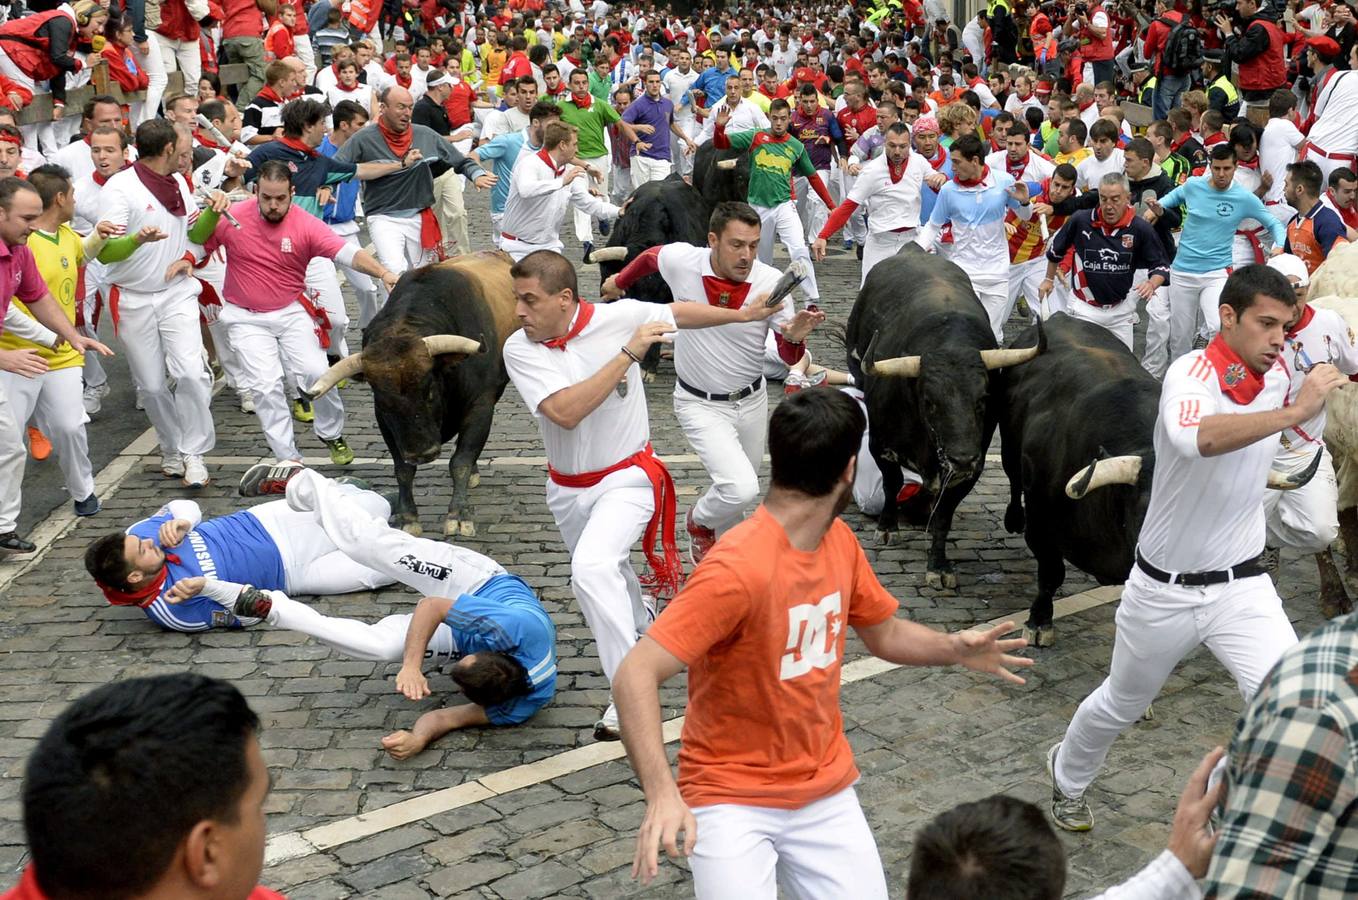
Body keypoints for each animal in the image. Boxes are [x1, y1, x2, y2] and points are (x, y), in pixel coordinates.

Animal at [308, 249, 518, 537]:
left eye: (429, 390)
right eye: (383, 401)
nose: (422, 453)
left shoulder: (481, 407)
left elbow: (461, 461)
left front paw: (458, 515)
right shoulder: (386, 424)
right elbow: (403, 470)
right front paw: (408, 517)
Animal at [841, 247, 1042, 589]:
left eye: (983, 399)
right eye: (929, 402)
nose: (961, 458)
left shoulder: (971, 468)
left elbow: (944, 515)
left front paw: (938, 565)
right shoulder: (881, 444)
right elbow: (892, 483)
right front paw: (888, 527)